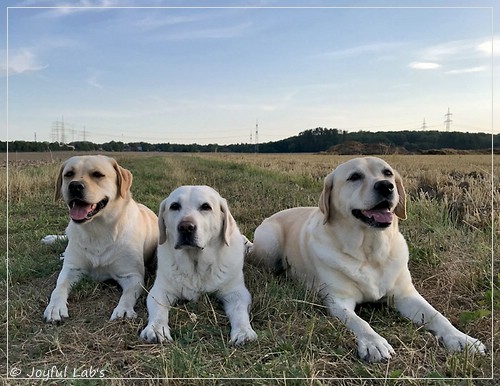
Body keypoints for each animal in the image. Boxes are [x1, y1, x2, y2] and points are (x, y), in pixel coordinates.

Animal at [45, 155, 158, 322]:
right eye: (69, 174)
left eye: (98, 174)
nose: (75, 186)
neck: (97, 230)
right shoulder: (71, 269)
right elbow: (59, 288)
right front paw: (54, 307)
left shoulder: (132, 275)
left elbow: (128, 295)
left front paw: (124, 310)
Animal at [141, 185, 258, 346]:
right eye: (174, 206)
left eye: (206, 207)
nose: (186, 227)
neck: (196, 265)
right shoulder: (160, 290)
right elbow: (158, 310)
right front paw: (156, 329)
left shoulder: (236, 292)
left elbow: (240, 311)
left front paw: (243, 332)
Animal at [248, 156, 486, 362]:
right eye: (354, 177)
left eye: (388, 173)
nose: (385, 186)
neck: (371, 251)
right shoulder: (337, 301)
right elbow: (359, 321)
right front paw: (374, 343)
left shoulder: (405, 295)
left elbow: (437, 315)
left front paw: (462, 338)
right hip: (270, 244)